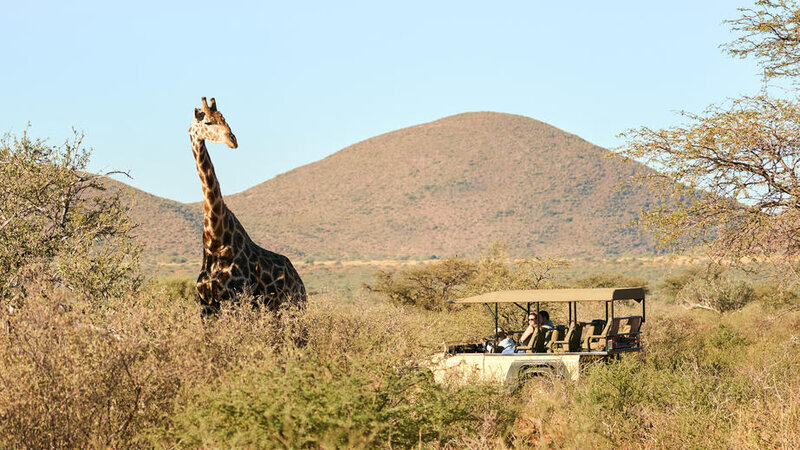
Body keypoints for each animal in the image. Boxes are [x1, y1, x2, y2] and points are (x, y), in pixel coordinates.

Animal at [189, 96, 308, 314]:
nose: (233, 140)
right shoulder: (207, 305)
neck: (215, 240)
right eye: (207, 122)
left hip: (294, 307)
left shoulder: (234, 299)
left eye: (224, 118)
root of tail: (299, 281)